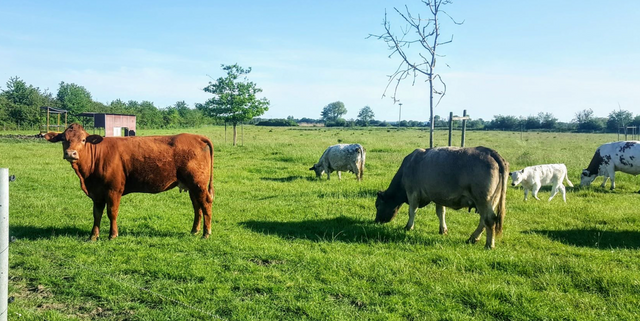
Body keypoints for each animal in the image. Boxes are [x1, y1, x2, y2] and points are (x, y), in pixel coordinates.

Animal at [45, 124, 216, 239]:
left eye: (83, 140)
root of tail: (196, 137)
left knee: (206, 204)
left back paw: (206, 233)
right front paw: (93, 236)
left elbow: (112, 212)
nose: (70, 153)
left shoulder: (114, 190)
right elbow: (97, 214)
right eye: (63, 139)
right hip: (192, 186)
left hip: (198, 184)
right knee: (197, 207)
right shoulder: (97, 193)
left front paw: (113, 235)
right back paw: (194, 231)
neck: (86, 177)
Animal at [376, 146, 510, 249]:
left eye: (377, 205)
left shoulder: (412, 193)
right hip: (491, 200)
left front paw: (408, 227)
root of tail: (489, 152)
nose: (376, 221)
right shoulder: (439, 196)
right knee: (483, 221)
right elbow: (441, 212)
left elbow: (412, 211)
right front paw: (443, 229)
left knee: (489, 220)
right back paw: (473, 238)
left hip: (483, 200)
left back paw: (489, 245)